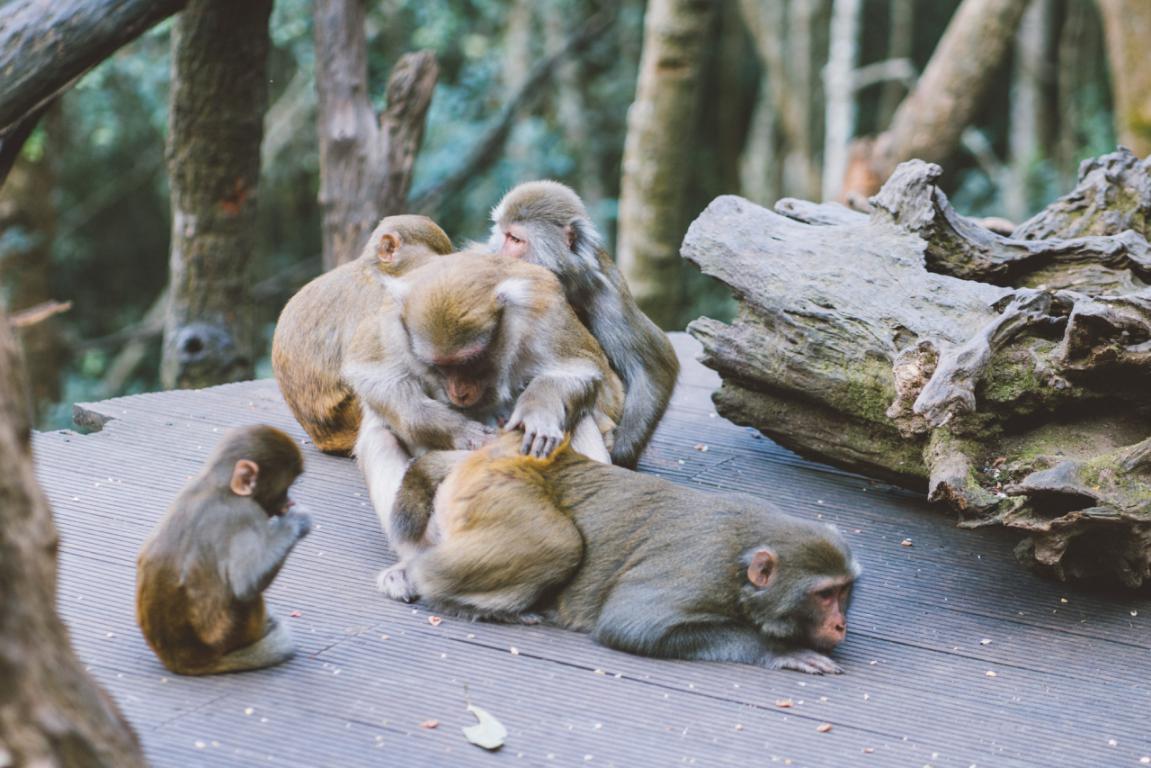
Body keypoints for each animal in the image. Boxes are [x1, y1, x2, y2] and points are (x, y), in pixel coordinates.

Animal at [135, 423, 313, 677]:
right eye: (285, 488)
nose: (290, 503)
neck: (218, 486)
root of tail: (182, 660)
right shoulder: (245, 513)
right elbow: (245, 585)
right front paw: (295, 523)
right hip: (235, 631)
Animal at [345, 251, 626, 589]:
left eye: (469, 362)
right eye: (440, 366)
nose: (459, 391)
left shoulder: (544, 312)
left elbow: (577, 369)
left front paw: (538, 414)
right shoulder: (390, 327)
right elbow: (374, 375)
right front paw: (463, 431)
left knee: (579, 420)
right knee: (380, 436)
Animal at [391, 435, 860, 677]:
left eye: (843, 592)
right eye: (823, 595)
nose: (839, 624)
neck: (740, 566)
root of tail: (490, 450)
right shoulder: (700, 572)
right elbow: (631, 625)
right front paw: (782, 650)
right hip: (499, 487)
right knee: (560, 544)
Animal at [490, 180, 676, 469]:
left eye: (516, 240)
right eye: (505, 235)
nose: (499, 254)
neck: (562, 279)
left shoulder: (605, 289)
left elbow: (654, 365)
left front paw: (621, 454)